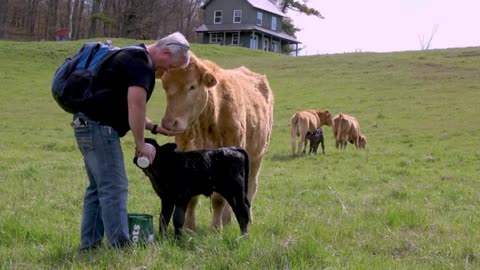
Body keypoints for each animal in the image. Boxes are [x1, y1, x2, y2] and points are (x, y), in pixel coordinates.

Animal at [158, 52, 274, 232]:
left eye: (192, 86)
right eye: (165, 86)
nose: (169, 123)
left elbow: (218, 199)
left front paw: (215, 228)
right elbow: (192, 198)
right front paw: (189, 227)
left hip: (256, 157)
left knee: (249, 187)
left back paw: (244, 219)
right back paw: (227, 220)